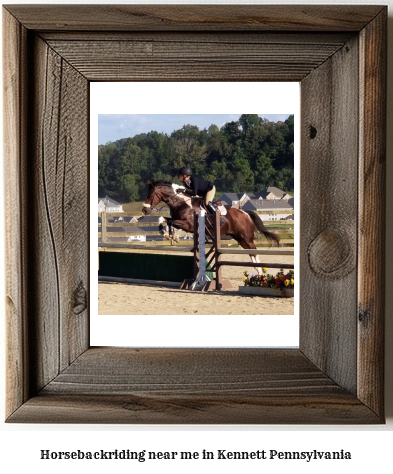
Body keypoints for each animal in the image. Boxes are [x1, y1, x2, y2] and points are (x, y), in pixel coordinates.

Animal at [141, 180, 278, 274]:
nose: (144, 210)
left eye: (151, 194)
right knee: (250, 252)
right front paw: (168, 235)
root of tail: (245, 213)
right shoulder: (179, 221)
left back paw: (260, 271)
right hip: (240, 238)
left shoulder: (188, 225)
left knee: (254, 250)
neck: (180, 202)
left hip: (246, 238)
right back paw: (258, 270)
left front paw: (172, 236)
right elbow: (163, 219)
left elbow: (170, 222)